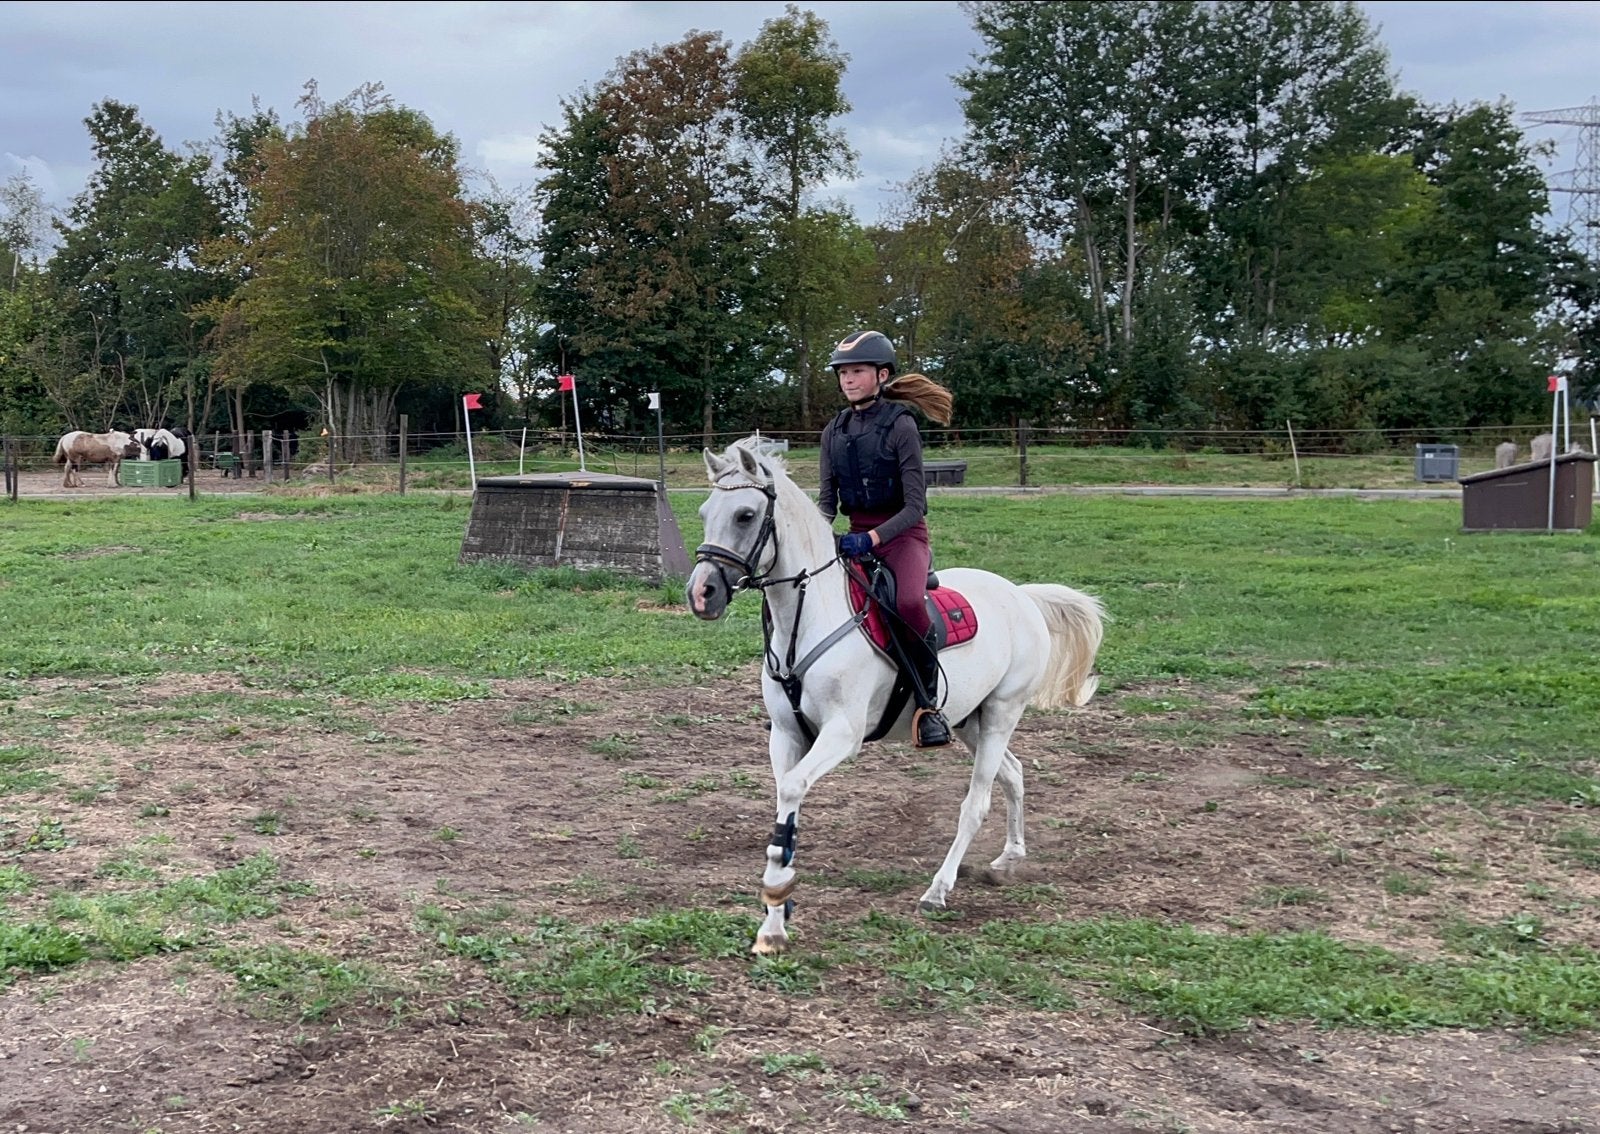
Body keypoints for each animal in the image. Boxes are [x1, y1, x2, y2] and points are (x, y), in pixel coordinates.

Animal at [686, 439, 1105, 955]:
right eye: (704, 513)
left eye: (745, 515)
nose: (701, 593)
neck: (810, 619)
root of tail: (1021, 596)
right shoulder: (786, 735)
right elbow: (786, 811)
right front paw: (774, 921)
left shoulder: (841, 735)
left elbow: (792, 791)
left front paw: (777, 897)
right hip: (969, 720)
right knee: (1014, 774)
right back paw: (1009, 858)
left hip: (1002, 713)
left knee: (977, 802)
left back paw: (939, 889)